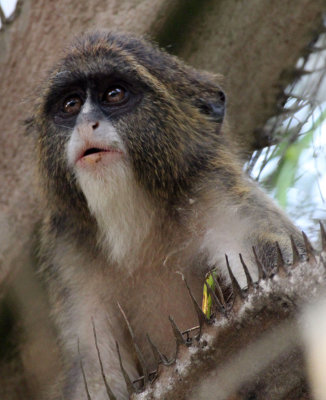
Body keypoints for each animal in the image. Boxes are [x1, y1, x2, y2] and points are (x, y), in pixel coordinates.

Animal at [29, 29, 304, 398]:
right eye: (71, 104)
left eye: (114, 94)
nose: (88, 123)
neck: (140, 221)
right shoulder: (67, 250)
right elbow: (95, 369)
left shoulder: (218, 192)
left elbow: (276, 258)